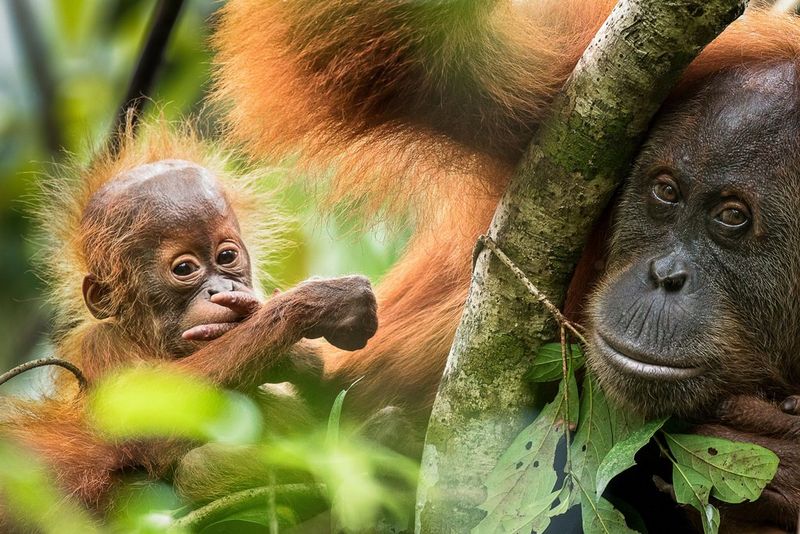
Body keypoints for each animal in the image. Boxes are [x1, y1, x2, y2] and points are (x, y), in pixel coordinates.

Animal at [0, 122, 379, 528]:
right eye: (184, 268)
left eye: (226, 256)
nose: (222, 289)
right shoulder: (100, 347)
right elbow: (146, 426)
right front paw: (319, 301)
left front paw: (293, 353)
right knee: (196, 468)